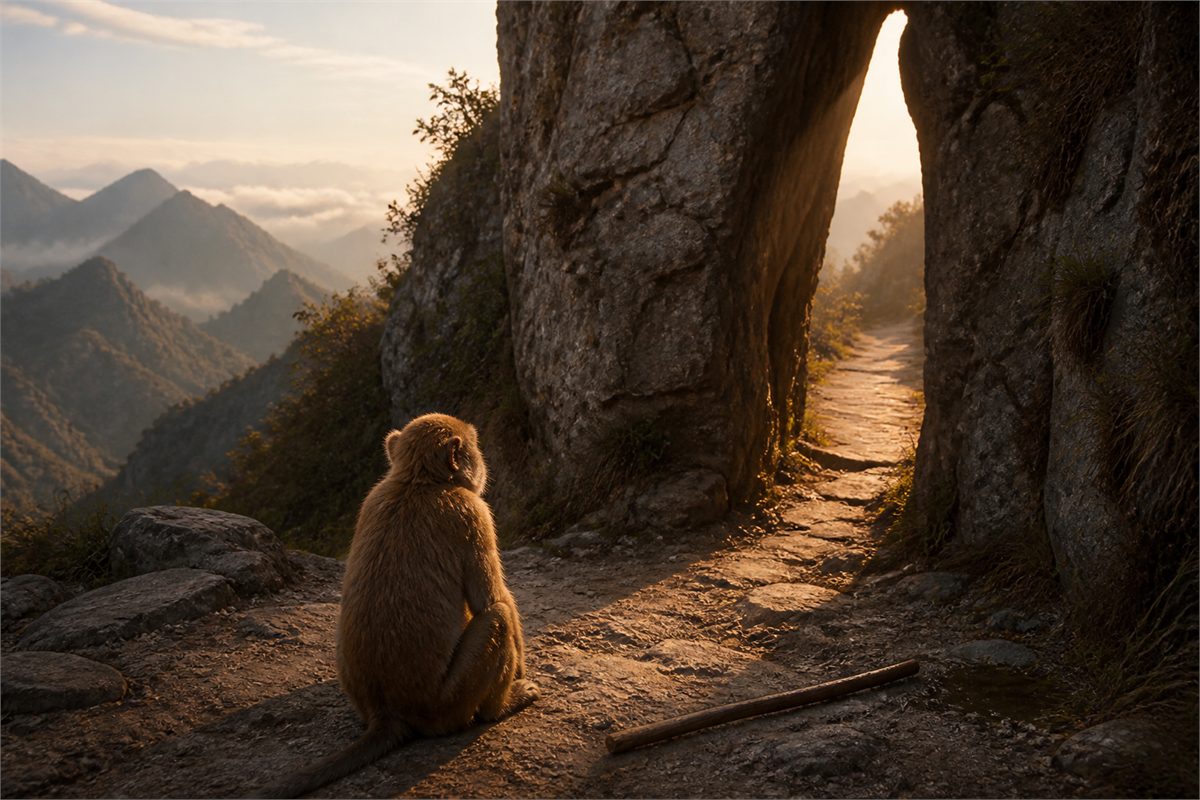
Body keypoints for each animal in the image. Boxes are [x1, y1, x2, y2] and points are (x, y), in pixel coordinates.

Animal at [257, 413, 538, 798]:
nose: (484, 466)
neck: (417, 482)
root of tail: (388, 712)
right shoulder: (472, 512)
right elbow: (492, 600)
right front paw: (520, 673)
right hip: (448, 702)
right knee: (497, 618)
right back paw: (501, 706)